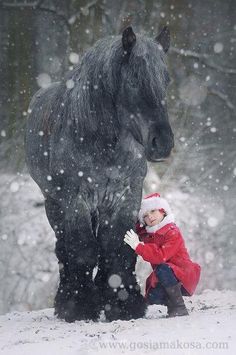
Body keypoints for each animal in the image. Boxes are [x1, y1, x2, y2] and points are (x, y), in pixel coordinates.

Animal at [24, 27, 174, 322]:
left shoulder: (125, 195)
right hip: (53, 204)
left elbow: (116, 246)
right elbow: (82, 249)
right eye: (134, 80)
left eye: (166, 79)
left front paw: (122, 304)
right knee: (64, 248)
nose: (162, 142)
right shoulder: (76, 199)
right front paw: (79, 306)